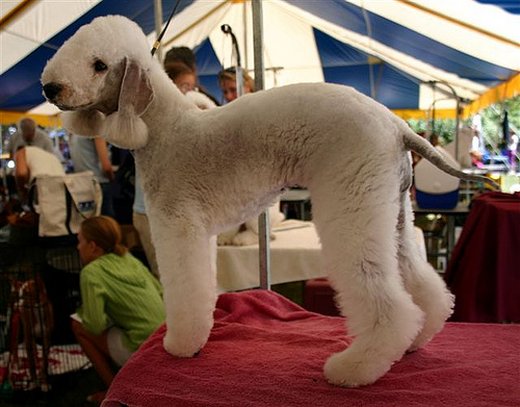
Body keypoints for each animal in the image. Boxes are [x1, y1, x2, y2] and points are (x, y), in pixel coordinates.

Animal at [42, 15, 494, 388]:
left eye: (99, 65)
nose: (50, 87)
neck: (163, 128)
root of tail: (398, 126)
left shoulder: (176, 227)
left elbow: (185, 290)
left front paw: (181, 344)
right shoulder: (199, 233)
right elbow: (203, 285)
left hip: (354, 201)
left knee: (388, 305)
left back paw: (355, 368)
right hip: (393, 212)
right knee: (425, 287)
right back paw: (415, 340)